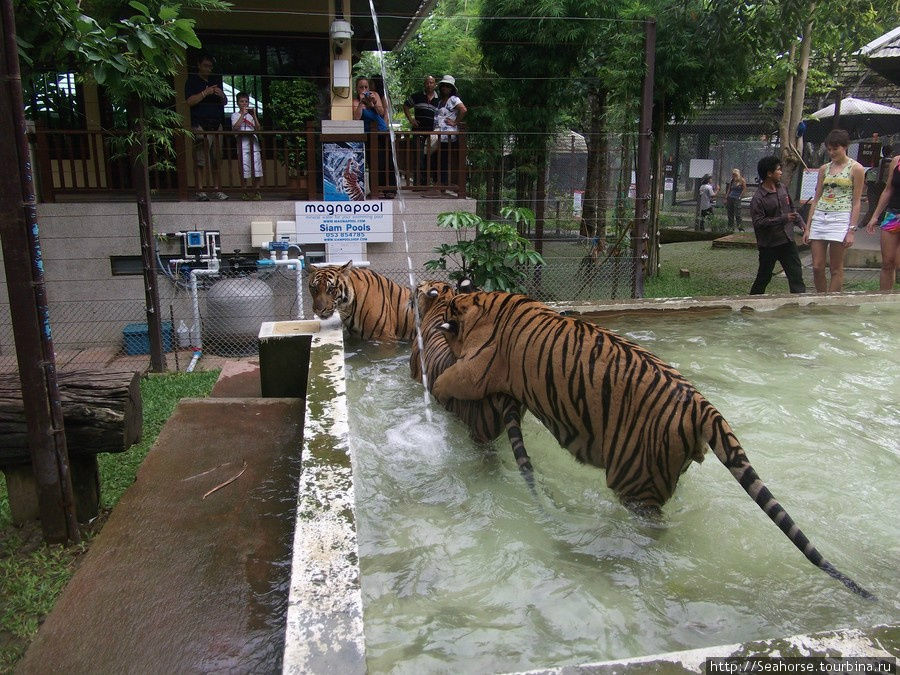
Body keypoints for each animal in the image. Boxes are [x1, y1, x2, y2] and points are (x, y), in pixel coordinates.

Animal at [432, 290, 876, 596]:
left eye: (450, 312)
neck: (487, 303)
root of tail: (703, 407)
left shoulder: (476, 369)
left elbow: (447, 379)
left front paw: (433, 389)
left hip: (633, 479)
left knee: (651, 525)